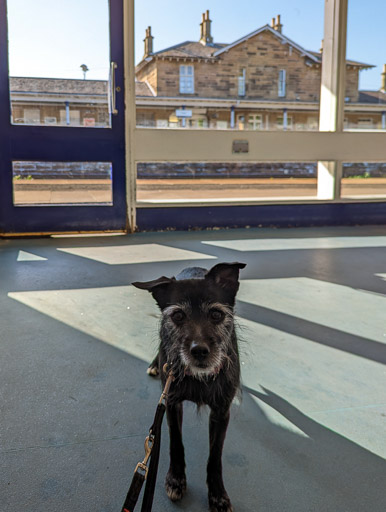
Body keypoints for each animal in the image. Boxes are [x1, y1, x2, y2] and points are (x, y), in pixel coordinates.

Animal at [133, 262, 246, 510]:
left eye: (216, 314)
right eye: (177, 315)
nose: (199, 350)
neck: (198, 376)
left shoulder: (221, 412)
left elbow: (215, 456)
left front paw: (218, 495)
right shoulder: (171, 403)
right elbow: (176, 443)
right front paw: (176, 479)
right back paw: (154, 365)